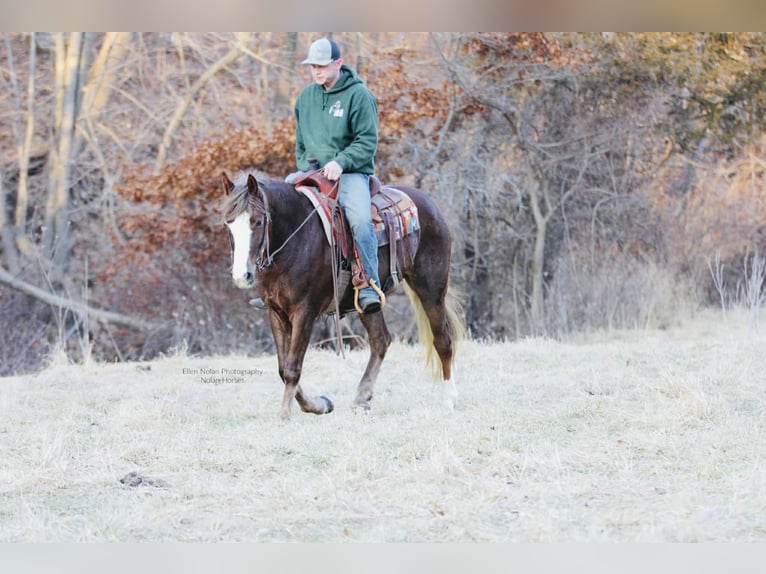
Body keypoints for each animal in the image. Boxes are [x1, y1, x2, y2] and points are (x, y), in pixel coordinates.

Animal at [220, 171, 465, 420]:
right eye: (229, 223)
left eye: (257, 221)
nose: (242, 275)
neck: (295, 238)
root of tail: (428, 204)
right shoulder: (276, 312)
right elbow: (282, 368)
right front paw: (320, 404)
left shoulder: (304, 311)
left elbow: (292, 369)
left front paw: (287, 414)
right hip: (368, 303)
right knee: (380, 340)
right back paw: (362, 397)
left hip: (431, 288)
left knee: (442, 339)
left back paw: (449, 399)